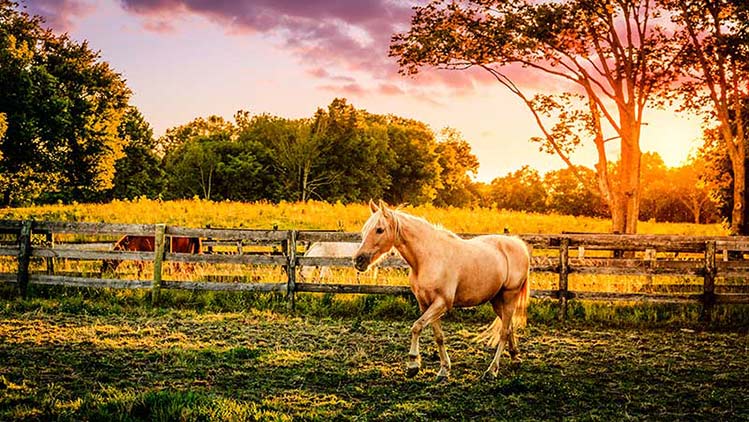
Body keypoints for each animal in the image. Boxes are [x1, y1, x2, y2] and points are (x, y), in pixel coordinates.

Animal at [354, 199, 528, 380]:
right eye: (364, 230)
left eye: (379, 229)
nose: (358, 260)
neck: (428, 258)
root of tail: (517, 243)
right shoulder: (426, 304)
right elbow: (438, 336)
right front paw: (444, 369)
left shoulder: (441, 303)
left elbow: (416, 326)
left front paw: (413, 364)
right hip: (497, 301)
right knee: (509, 327)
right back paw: (515, 358)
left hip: (509, 297)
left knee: (504, 332)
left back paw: (492, 370)